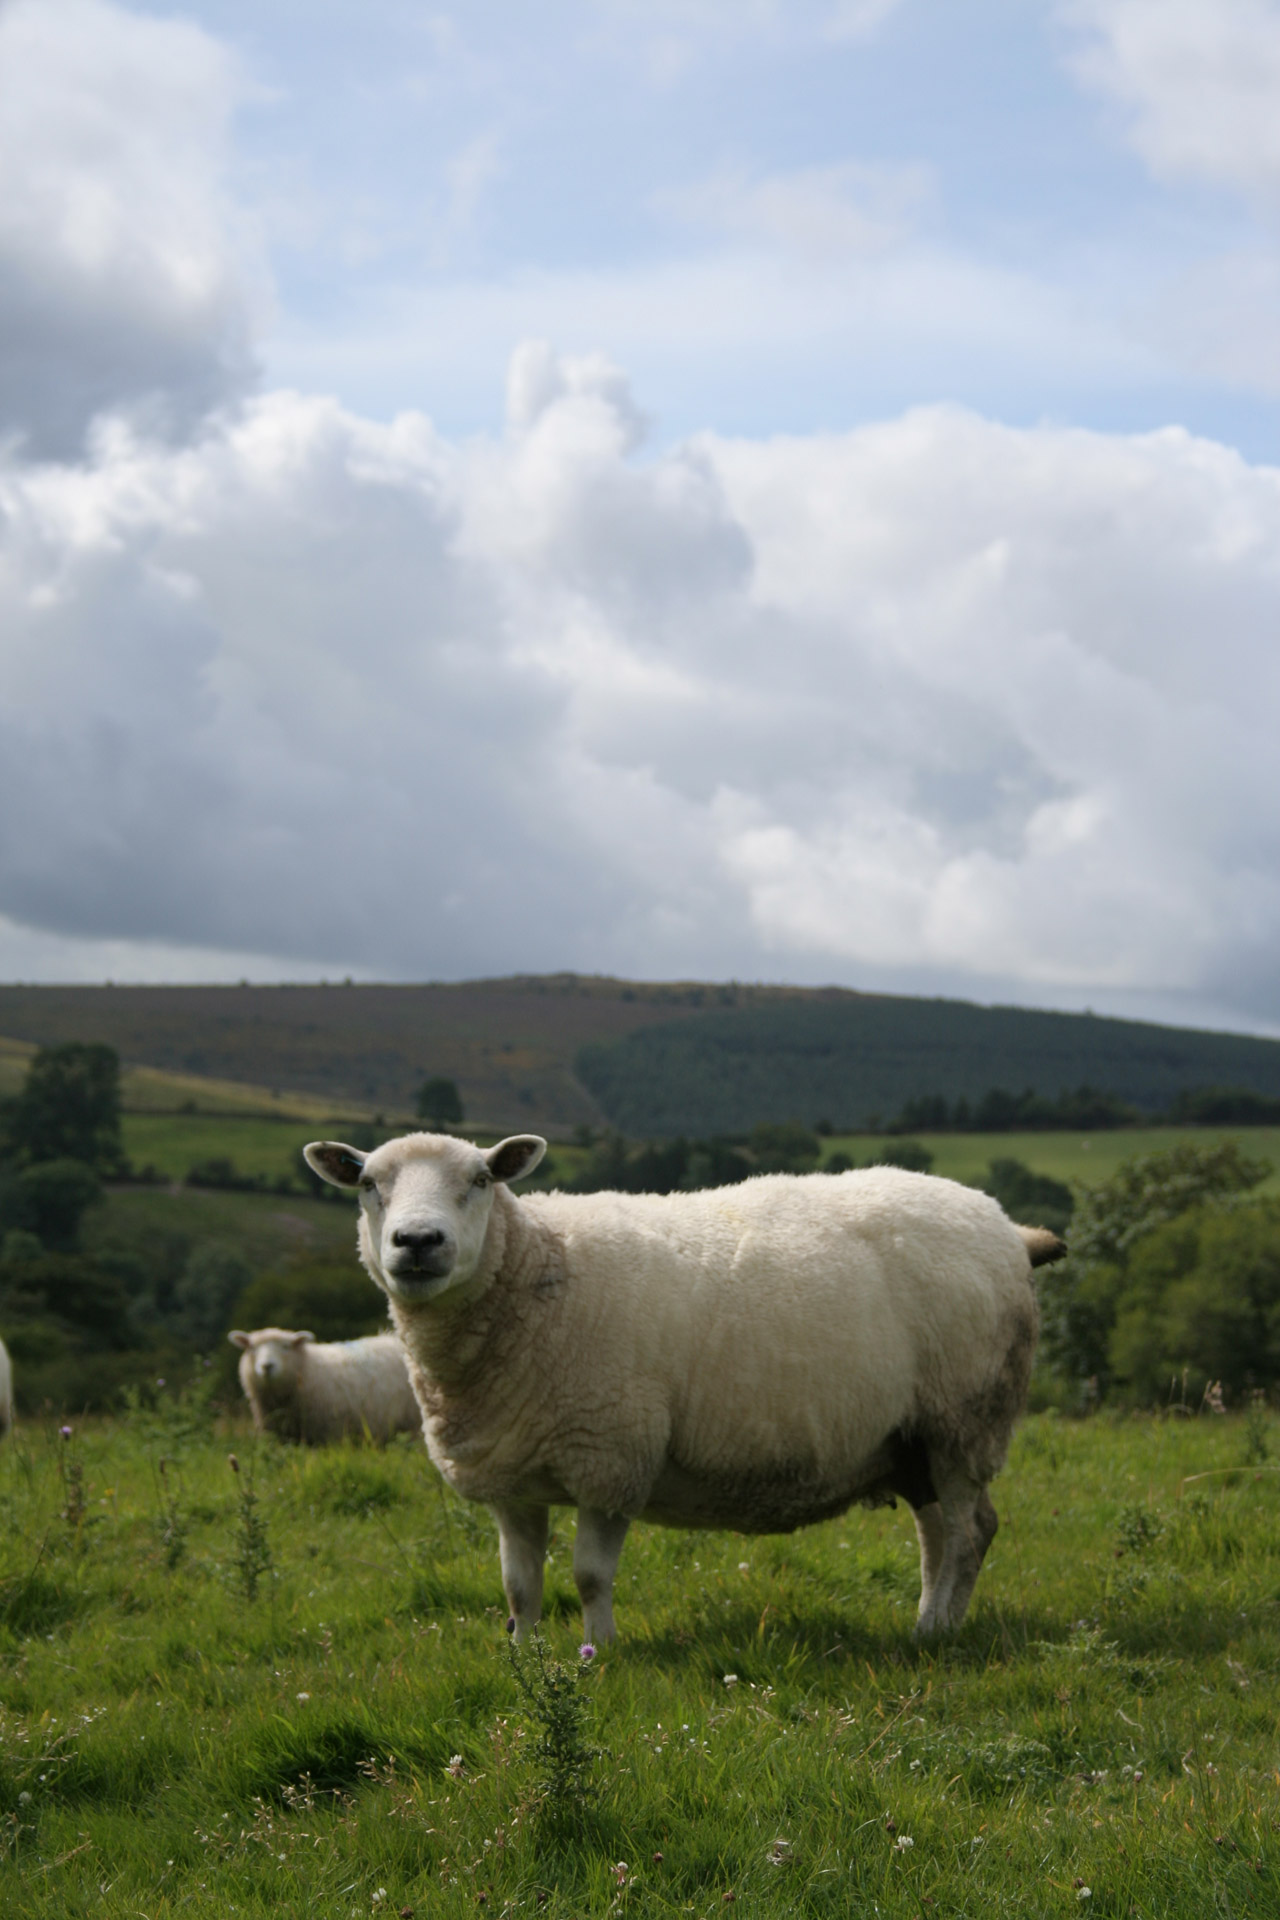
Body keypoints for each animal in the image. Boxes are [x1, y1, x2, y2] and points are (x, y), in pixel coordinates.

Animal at [303, 1128, 1059, 1643]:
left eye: (481, 1179)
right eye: (368, 1185)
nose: (417, 1242)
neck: (539, 1267)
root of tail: (1005, 1226)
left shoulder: (613, 1453)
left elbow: (589, 1576)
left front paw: (599, 1653)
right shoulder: (510, 1477)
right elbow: (519, 1587)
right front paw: (528, 1656)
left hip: (967, 1416)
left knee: (968, 1531)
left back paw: (938, 1634)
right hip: (911, 1437)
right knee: (937, 1534)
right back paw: (928, 1621)